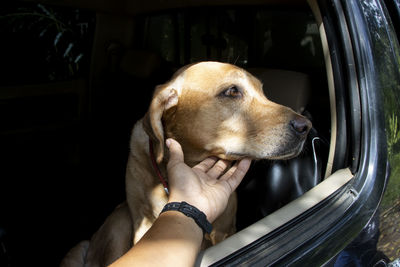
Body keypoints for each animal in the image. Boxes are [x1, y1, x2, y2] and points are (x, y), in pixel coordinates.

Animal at [59, 61, 310, 266]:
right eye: (232, 91)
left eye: (262, 91)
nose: (306, 127)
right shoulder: (142, 222)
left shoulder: (224, 230)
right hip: (118, 220)